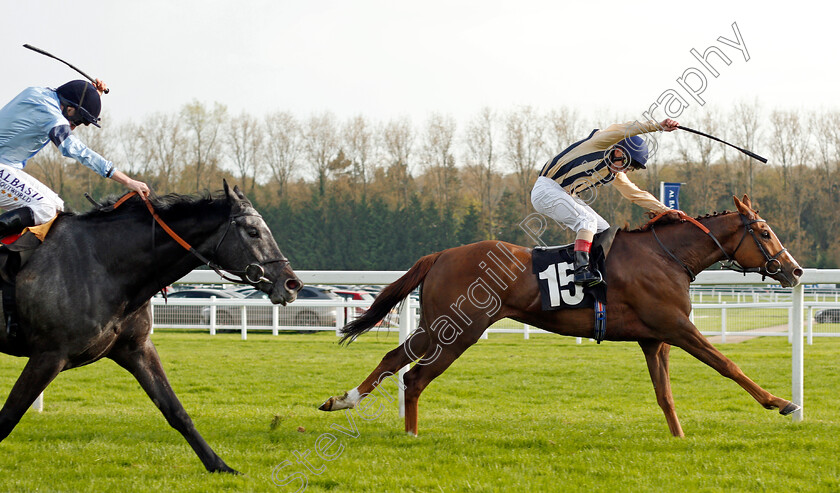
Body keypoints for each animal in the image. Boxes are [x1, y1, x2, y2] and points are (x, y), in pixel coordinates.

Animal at [320, 196, 800, 434]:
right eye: (763, 232)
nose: (794, 270)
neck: (666, 256)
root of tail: (440, 254)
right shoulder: (678, 327)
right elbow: (727, 364)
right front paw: (782, 403)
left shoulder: (654, 338)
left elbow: (665, 394)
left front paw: (679, 438)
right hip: (461, 329)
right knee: (415, 377)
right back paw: (411, 434)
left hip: (439, 325)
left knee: (395, 359)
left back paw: (343, 400)